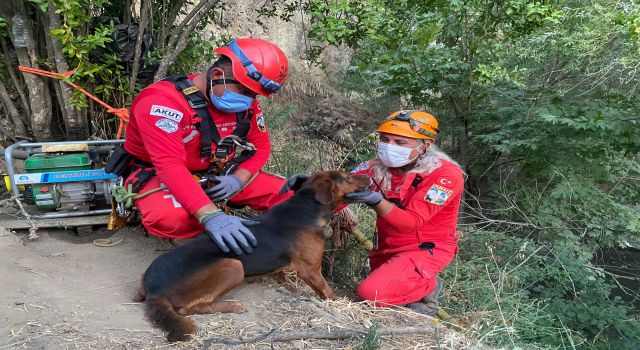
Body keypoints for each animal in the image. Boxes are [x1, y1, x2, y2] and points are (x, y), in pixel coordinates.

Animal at [132, 171, 370, 340]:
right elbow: (329, 293)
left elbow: (282, 276)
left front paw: (290, 288)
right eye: (348, 177)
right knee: (186, 309)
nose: (368, 177)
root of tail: (153, 290)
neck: (306, 208)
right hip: (233, 266)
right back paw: (232, 306)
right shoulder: (311, 270)